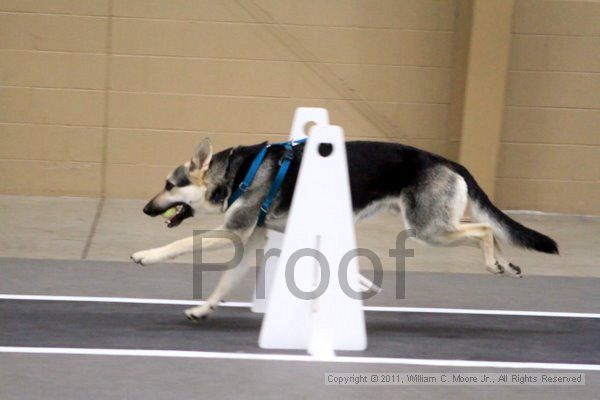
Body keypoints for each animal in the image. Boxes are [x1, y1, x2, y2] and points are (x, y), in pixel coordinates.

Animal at [131, 139, 556, 320]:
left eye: (169, 185)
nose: (145, 209)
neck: (237, 172)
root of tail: (448, 160)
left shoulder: (231, 232)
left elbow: (179, 244)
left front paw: (145, 255)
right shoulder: (250, 240)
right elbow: (223, 283)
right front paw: (203, 309)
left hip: (429, 229)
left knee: (483, 229)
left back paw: (494, 263)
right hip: (438, 223)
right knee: (488, 229)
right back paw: (505, 264)